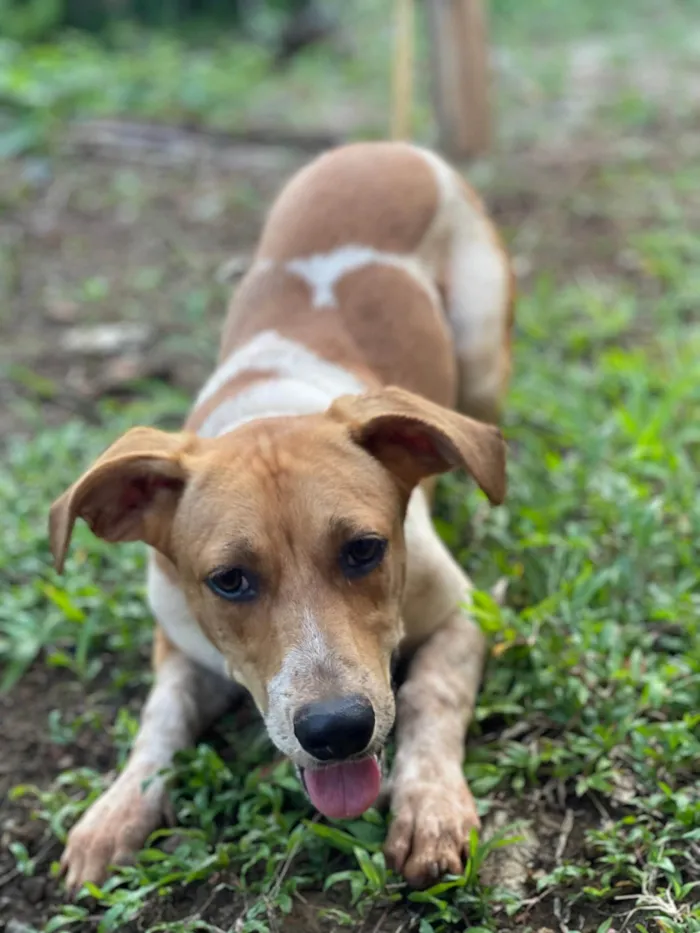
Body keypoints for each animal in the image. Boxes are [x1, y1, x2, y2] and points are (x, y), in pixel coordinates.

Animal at [47, 142, 516, 892]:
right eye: (229, 580)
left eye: (365, 549)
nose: (337, 731)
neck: (263, 407)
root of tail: (383, 148)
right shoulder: (179, 643)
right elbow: (159, 719)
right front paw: (117, 809)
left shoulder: (466, 616)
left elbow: (431, 696)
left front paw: (431, 806)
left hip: (479, 355)